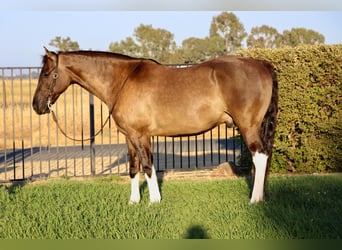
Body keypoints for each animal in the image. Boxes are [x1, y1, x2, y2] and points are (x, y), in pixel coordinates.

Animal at [32, 47, 278, 204]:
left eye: (46, 74)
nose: (36, 106)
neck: (122, 80)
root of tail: (262, 64)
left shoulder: (141, 136)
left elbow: (148, 166)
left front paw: (154, 201)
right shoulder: (129, 136)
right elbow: (133, 168)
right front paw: (133, 202)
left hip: (248, 126)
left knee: (260, 157)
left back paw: (255, 199)